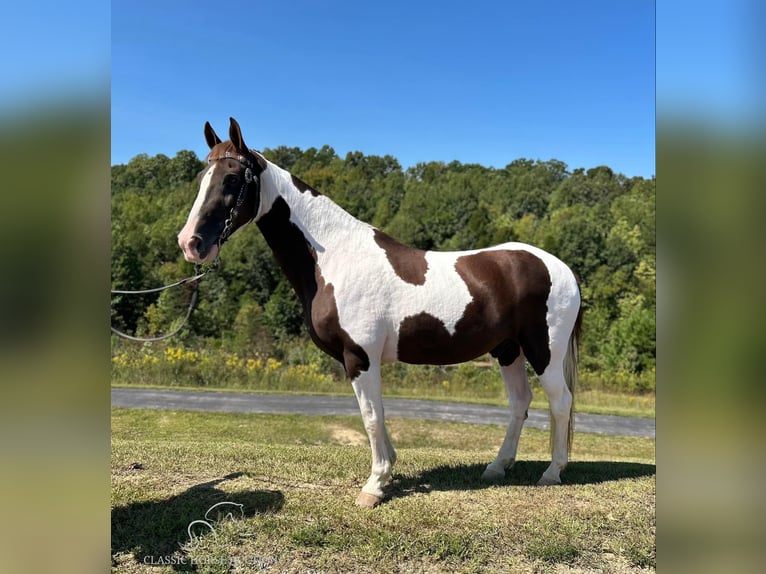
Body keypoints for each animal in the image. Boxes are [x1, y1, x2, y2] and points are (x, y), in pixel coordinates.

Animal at [178, 117, 584, 508]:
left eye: (232, 177)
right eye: (201, 178)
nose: (190, 243)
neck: (335, 257)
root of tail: (561, 267)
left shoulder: (360, 357)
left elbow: (371, 418)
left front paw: (373, 487)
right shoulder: (363, 360)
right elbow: (379, 415)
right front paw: (387, 474)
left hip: (543, 351)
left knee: (561, 402)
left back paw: (552, 472)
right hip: (508, 351)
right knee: (520, 404)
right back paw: (498, 467)